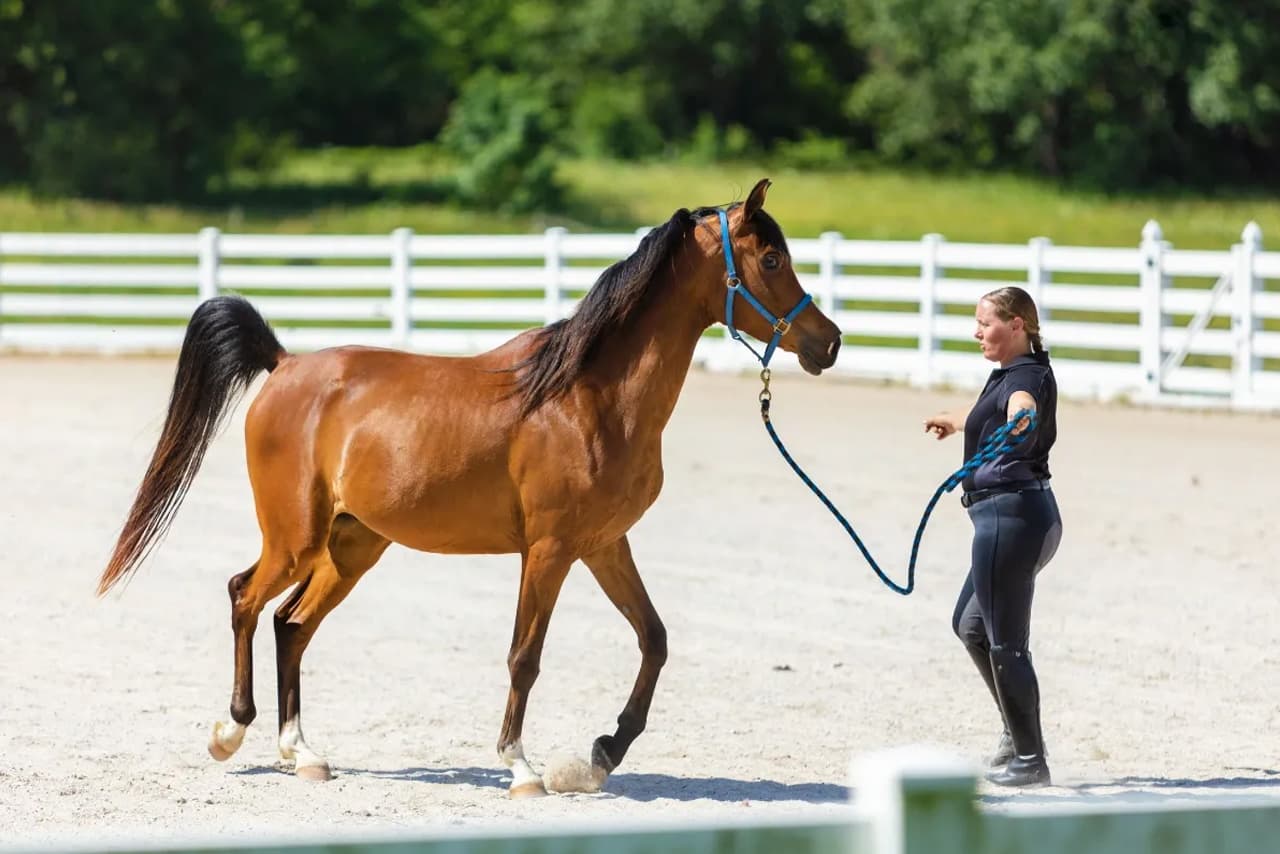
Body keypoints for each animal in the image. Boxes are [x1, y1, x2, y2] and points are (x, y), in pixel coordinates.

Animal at [97, 178, 842, 797]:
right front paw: (521, 767)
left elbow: (653, 640)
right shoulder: (548, 550)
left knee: (291, 624)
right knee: (245, 597)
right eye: (770, 261)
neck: (588, 397)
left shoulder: (603, 544)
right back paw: (231, 733)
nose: (828, 342)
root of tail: (283, 366)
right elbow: (525, 657)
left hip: (351, 547)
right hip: (295, 537)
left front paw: (602, 754)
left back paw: (302, 753)